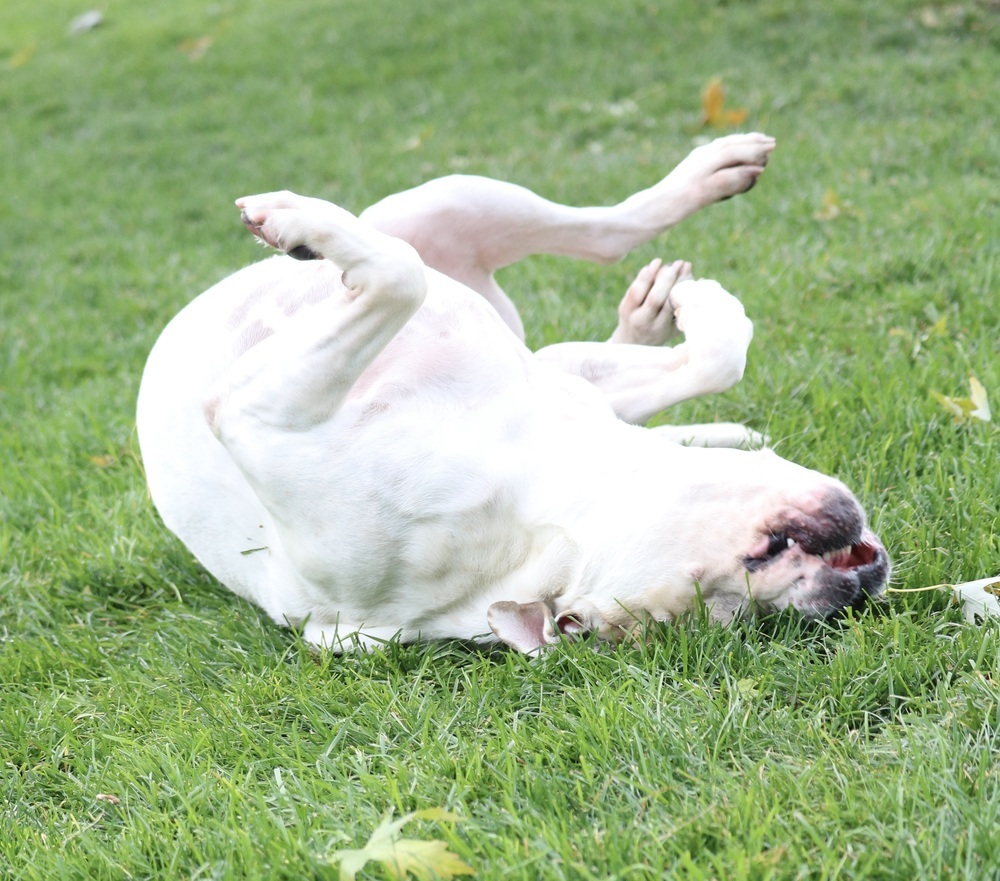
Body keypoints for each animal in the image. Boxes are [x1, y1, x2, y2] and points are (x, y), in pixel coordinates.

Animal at [135, 134, 892, 648]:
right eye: (736, 591)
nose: (846, 589)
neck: (536, 509)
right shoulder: (255, 412)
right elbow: (399, 275)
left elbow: (719, 355)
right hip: (455, 206)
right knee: (592, 236)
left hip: (466, 218)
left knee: (599, 242)